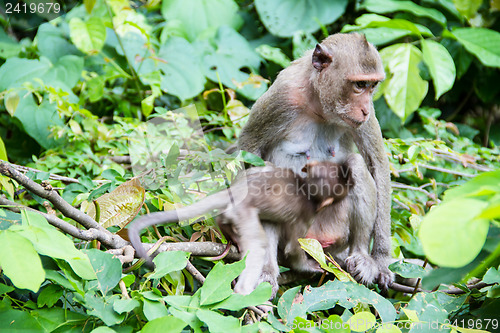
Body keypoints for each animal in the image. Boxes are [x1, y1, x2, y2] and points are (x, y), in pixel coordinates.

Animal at [127, 160, 350, 296]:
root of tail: (235, 192)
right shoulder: (306, 215)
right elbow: (293, 250)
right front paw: (308, 265)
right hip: (243, 211)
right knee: (258, 247)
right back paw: (243, 293)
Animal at [238, 33, 394, 288]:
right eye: (359, 85)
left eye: (372, 85)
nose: (365, 110)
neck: (318, 103)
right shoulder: (281, 97)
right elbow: (250, 148)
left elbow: (376, 163)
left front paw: (381, 261)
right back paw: (269, 269)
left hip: (337, 231)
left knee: (356, 165)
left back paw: (361, 256)